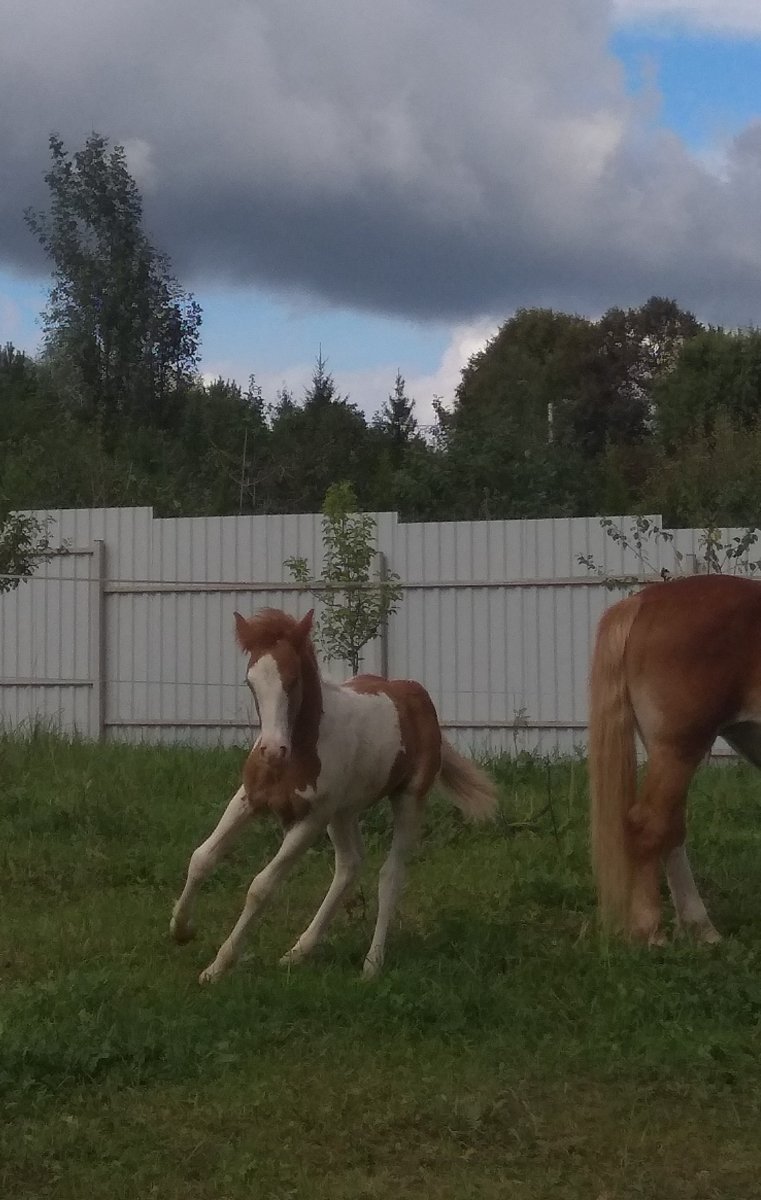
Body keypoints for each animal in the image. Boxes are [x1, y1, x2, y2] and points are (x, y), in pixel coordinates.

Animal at [171, 606, 498, 983]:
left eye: (293, 679)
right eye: (249, 681)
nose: (272, 751)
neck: (299, 752)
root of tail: (413, 693)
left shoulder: (310, 820)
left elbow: (261, 886)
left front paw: (217, 966)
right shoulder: (249, 799)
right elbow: (201, 857)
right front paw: (181, 930)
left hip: (407, 799)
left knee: (390, 875)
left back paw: (372, 963)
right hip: (343, 812)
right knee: (349, 865)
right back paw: (298, 952)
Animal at [589, 571, 761, 945]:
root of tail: (646, 601)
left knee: (671, 830)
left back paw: (699, 927)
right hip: (679, 747)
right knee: (649, 824)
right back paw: (649, 931)